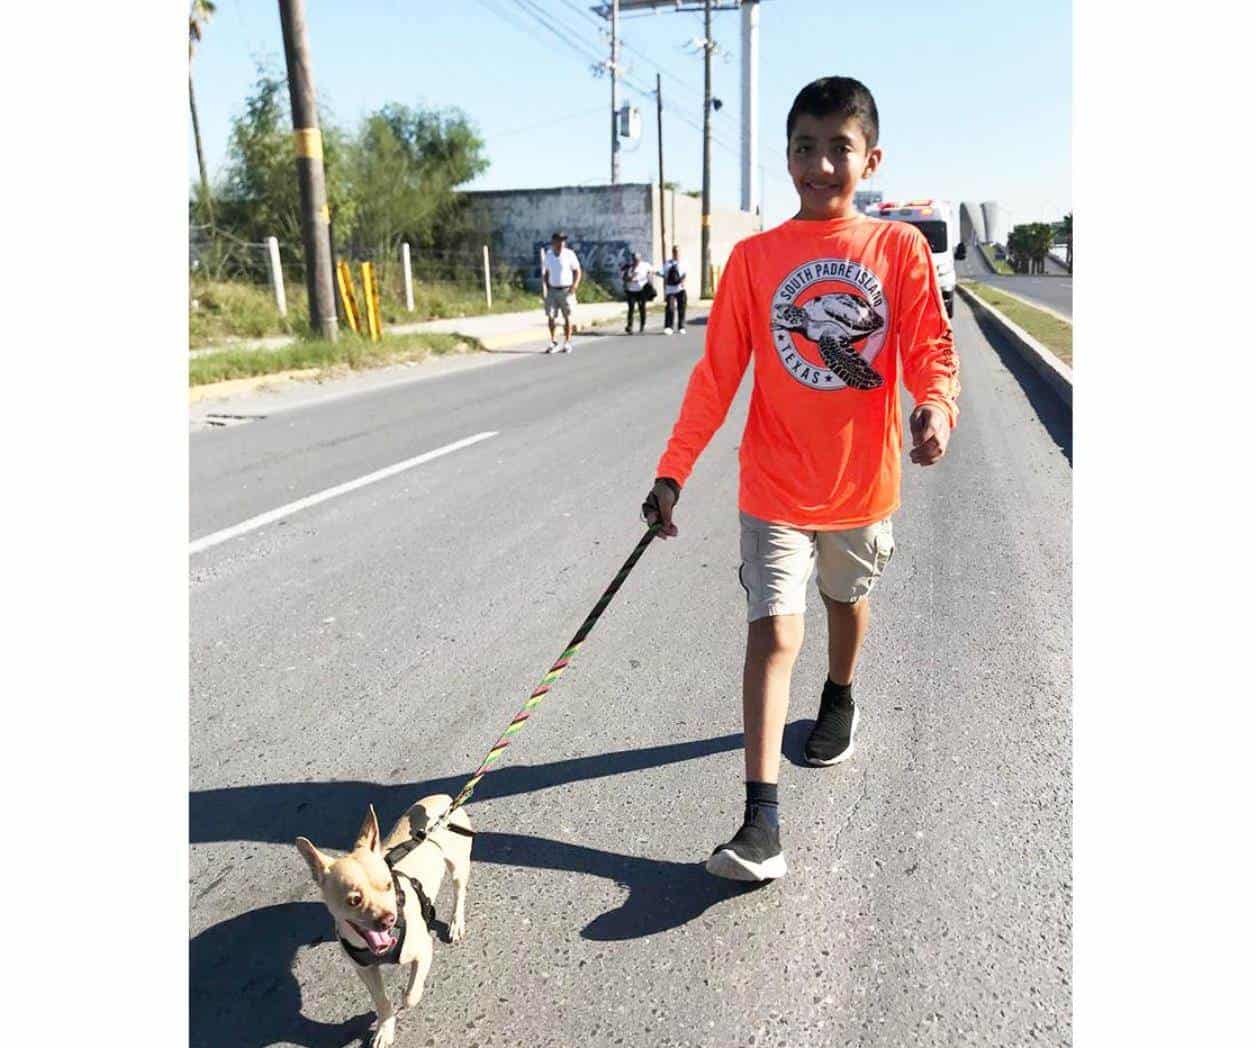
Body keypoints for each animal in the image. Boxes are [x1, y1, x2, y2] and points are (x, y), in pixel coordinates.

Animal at [296, 794, 472, 1045]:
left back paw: (456, 923)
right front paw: (384, 1027)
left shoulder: (423, 951)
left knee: (459, 892)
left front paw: (406, 999)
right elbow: (381, 1001)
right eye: (354, 900)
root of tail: (444, 798)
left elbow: (410, 995)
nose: (389, 919)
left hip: (458, 867)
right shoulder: (365, 970)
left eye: (389, 885)